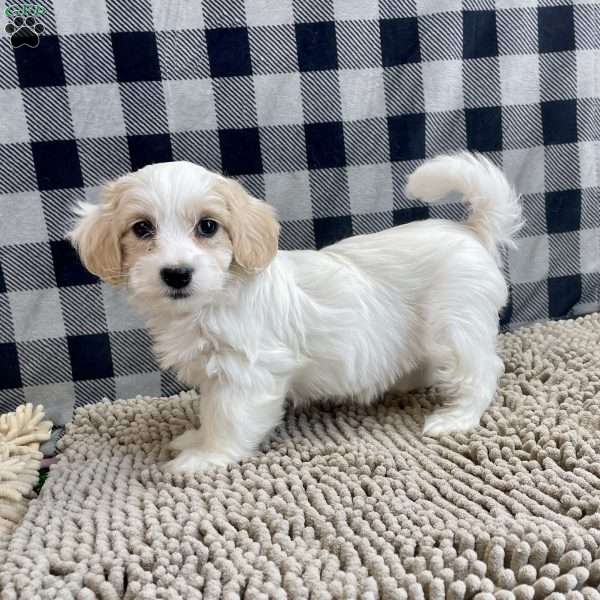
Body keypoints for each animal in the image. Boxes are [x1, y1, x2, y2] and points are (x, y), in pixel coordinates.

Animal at [69, 154, 520, 474]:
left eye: (208, 226)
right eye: (142, 229)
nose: (177, 273)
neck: (214, 300)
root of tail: (472, 232)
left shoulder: (246, 374)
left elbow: (227, 418)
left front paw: (206, 456)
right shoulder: (216, 375)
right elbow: (209, 412)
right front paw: (196, 438)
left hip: (456, 328)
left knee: (483, 370)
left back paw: (456, 417)